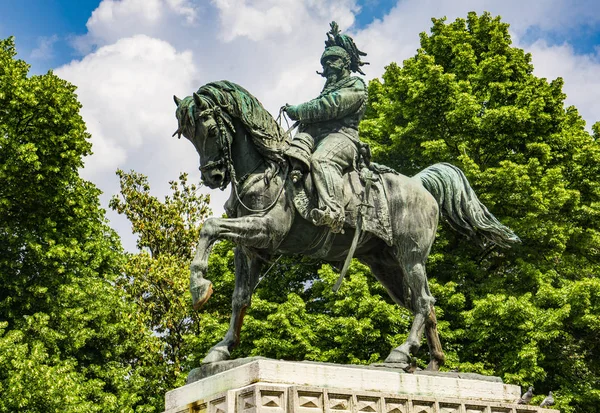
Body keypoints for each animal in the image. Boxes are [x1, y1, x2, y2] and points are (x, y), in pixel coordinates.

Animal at [173, 80, 520, 370]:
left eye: (210, 130)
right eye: (188, 136)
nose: (213, 176)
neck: (264, 168)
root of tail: (420, 184)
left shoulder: (265, 230)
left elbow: (209, 227)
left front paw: (198, 287)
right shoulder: (249, 249)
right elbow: (240, 297)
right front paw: (222, 349)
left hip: (411, 256)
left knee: (423, 301)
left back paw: (402, 352)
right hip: (386, 265)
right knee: (424, 304)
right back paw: (433, 363)